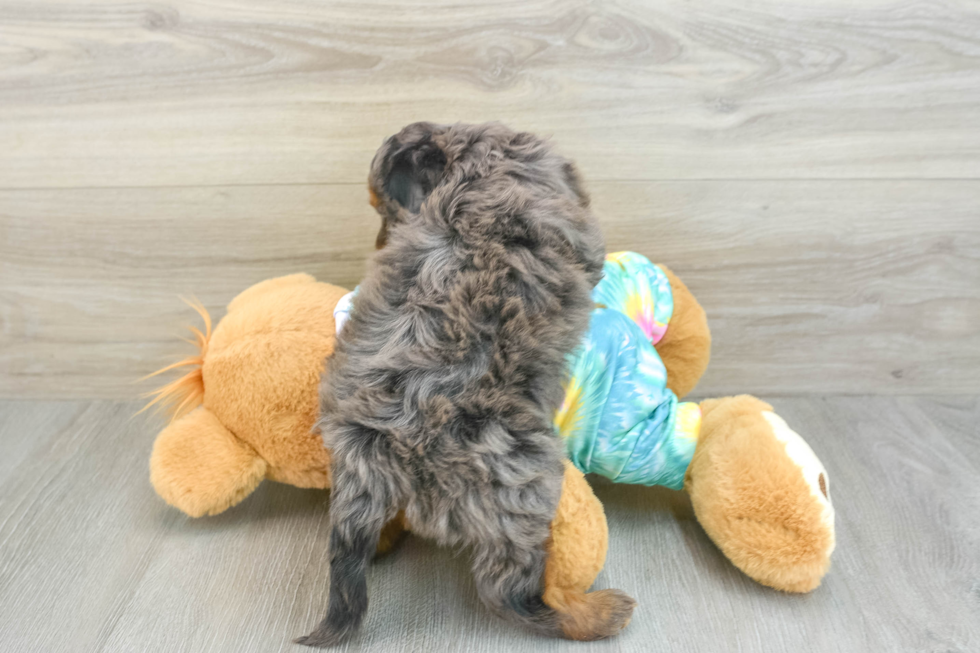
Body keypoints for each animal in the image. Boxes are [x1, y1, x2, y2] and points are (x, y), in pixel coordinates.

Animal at [296, 119, 636, 644]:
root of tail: (379, 447)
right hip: (522, 488)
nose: (380, 245)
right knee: (509, 593)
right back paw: (594, 614)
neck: (478, 159)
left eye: (383, 210)